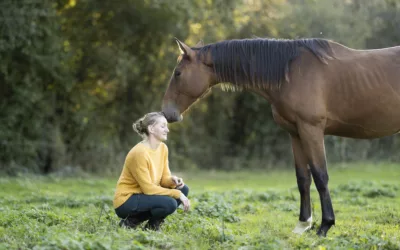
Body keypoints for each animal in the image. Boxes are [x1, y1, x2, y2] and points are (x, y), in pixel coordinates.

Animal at [161, 37, 400, 236]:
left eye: (178, 73)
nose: (167, 113)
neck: (291, 73)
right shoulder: (296, 133)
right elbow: (303, 179)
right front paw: (303, 224)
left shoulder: (311, 130)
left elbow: (320, 176)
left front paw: (325, 226)